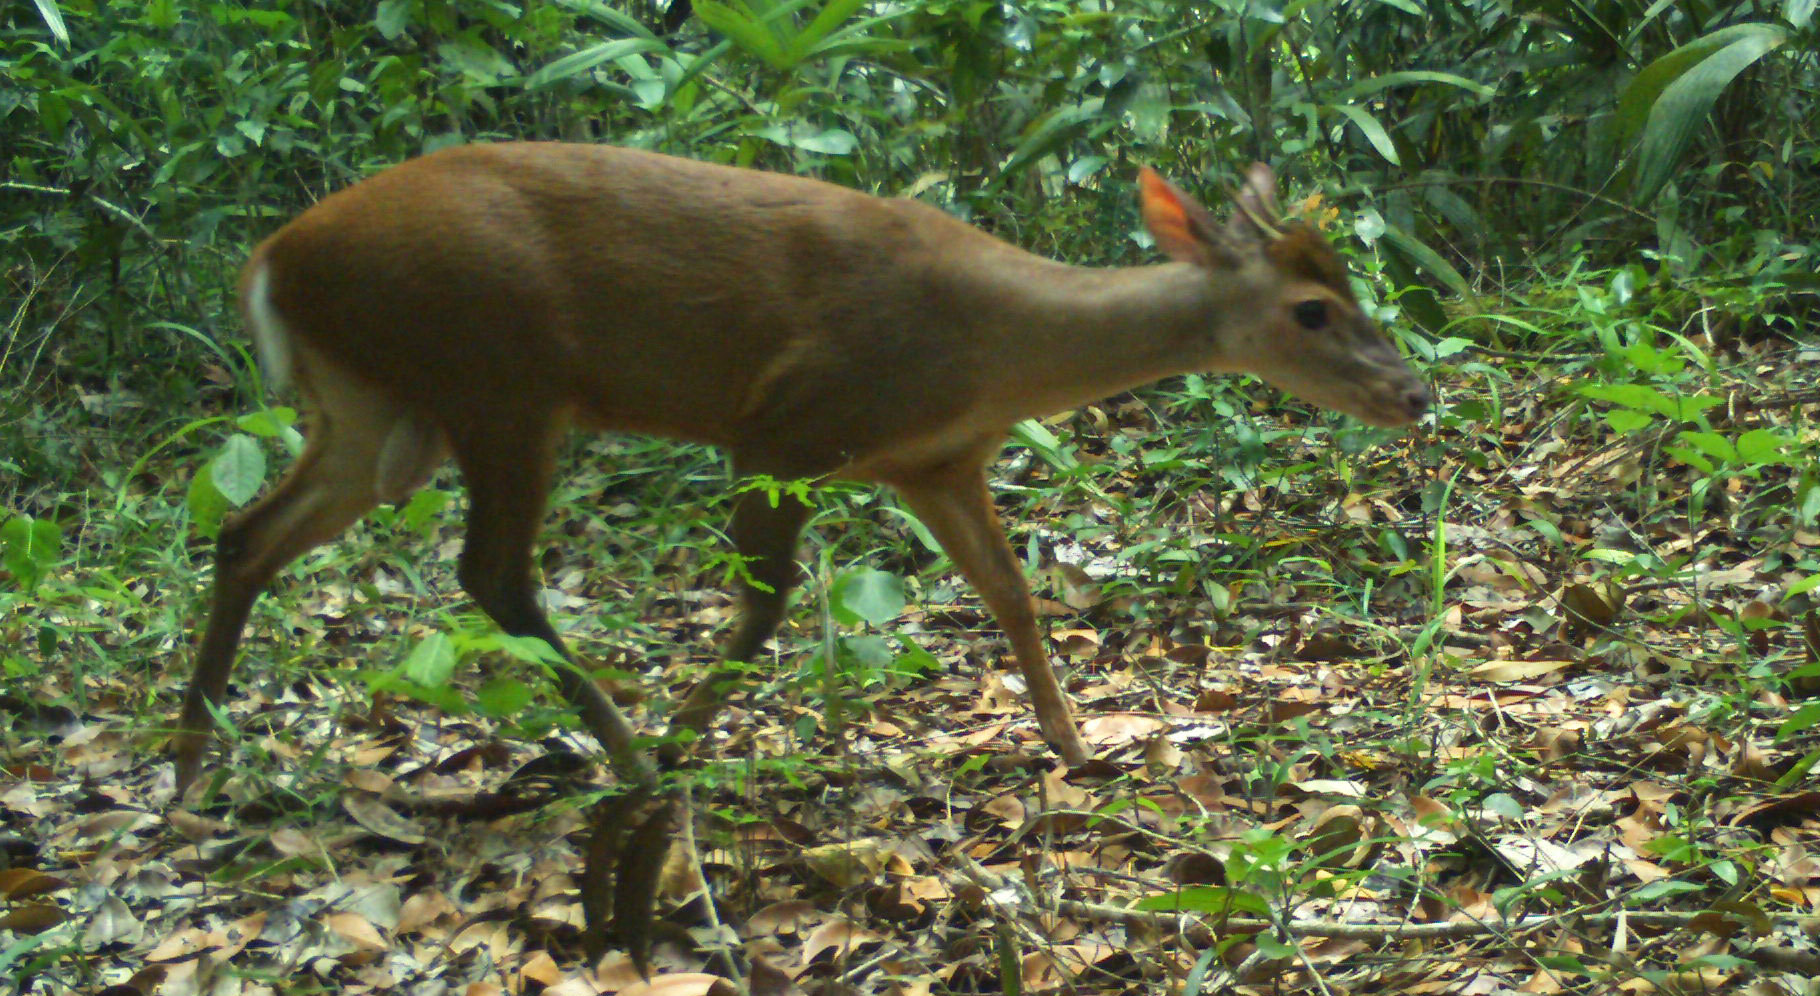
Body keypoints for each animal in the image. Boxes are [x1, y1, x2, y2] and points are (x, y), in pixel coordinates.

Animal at [171, 146, 1426, 793]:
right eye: (1312, 310)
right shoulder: (782, 428)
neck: (995, 347)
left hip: (375, 411)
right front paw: (683, 740)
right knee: (491, 573)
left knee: (247, 534)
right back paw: (630, 757)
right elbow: (765, 606)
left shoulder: (934, 461)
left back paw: (191, 764)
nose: (1411, 393)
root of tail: (271, 261)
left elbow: (1010, 593)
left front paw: (1075, 745)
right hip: (497, 382)